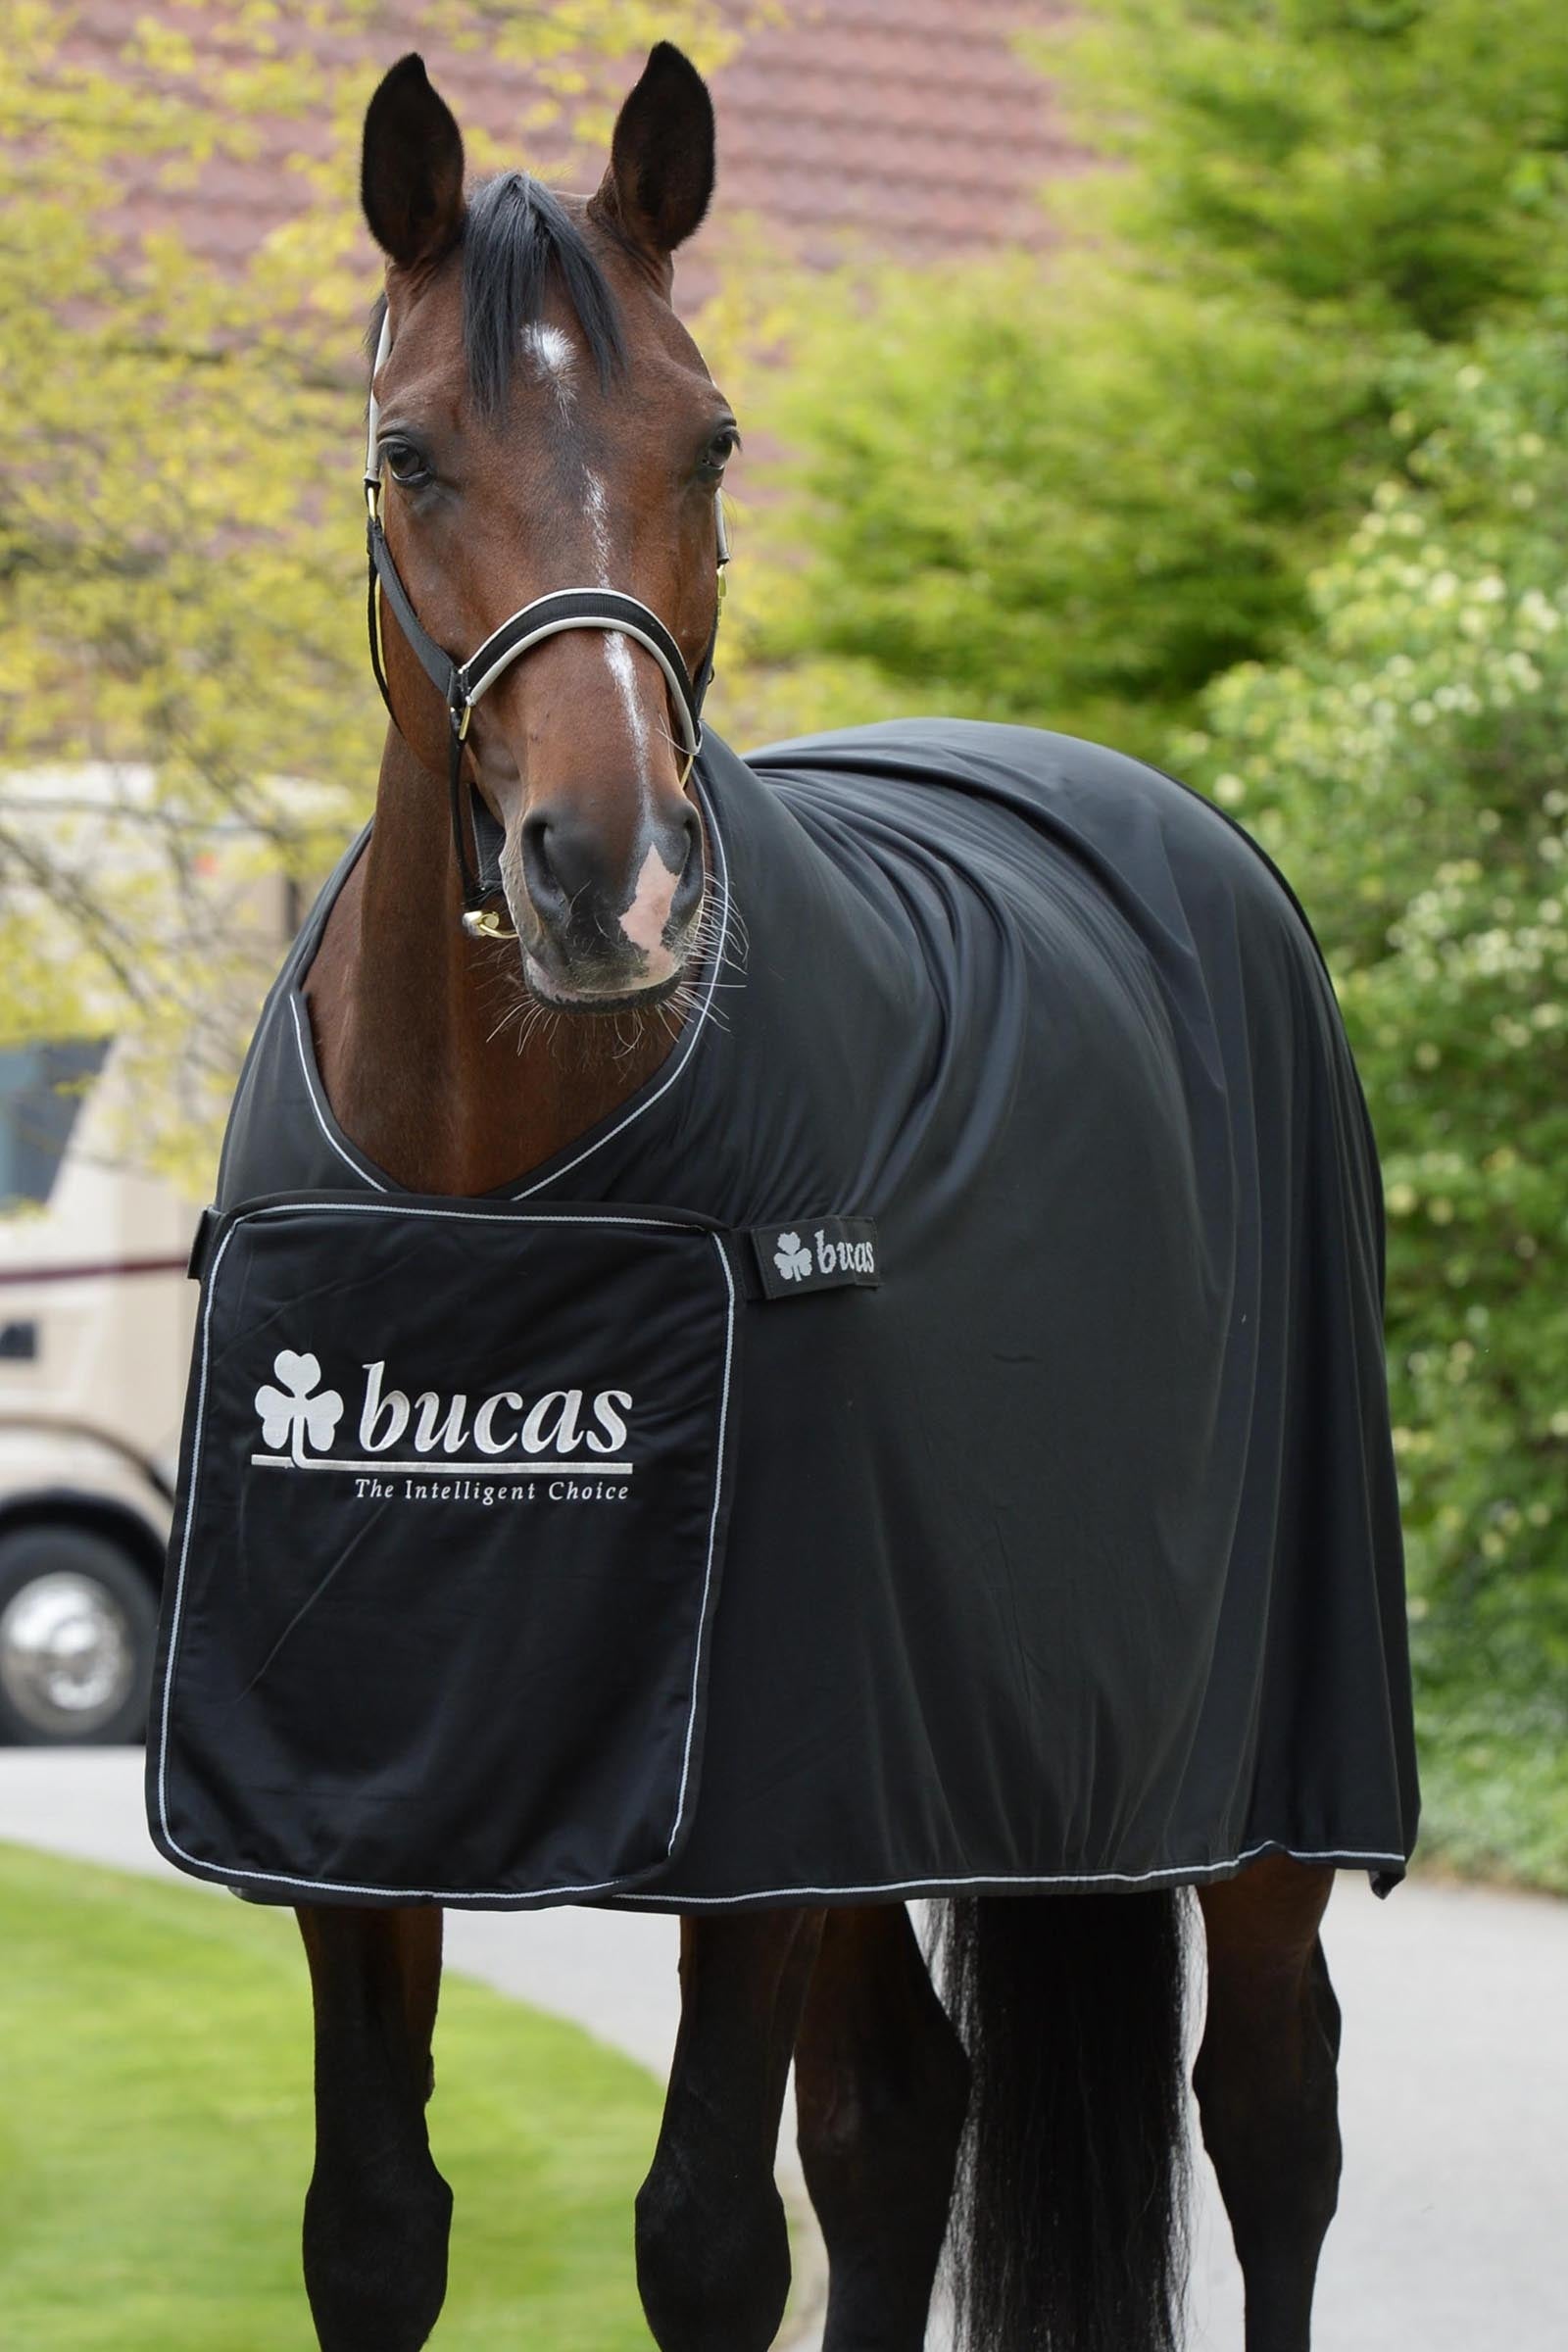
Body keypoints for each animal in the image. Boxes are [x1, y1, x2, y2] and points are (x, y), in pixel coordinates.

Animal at [194, 42, 1415, 2352]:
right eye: (406, 451)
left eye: (714, 437)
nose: (612, 879)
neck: (510, 1197)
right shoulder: (355, 1811)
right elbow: (375, 2227)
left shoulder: (751, 1804)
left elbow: (702, 2238)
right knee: (898, 2122)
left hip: (1254, 1790)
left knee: (1271, 2117)